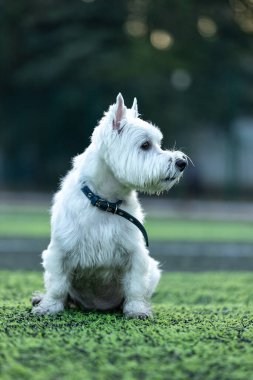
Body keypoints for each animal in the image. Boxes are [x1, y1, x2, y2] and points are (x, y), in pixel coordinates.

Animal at [31, 93, 187, 318]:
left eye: (159, 143)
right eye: (145, 145)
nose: (182, 162)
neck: (106, 201)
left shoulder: (135, 253)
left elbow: (135, 286)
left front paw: (137, 310)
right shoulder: (59, 251)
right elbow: (58, 284)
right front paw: (49, 306)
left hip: (153, 270)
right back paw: (40, 298)